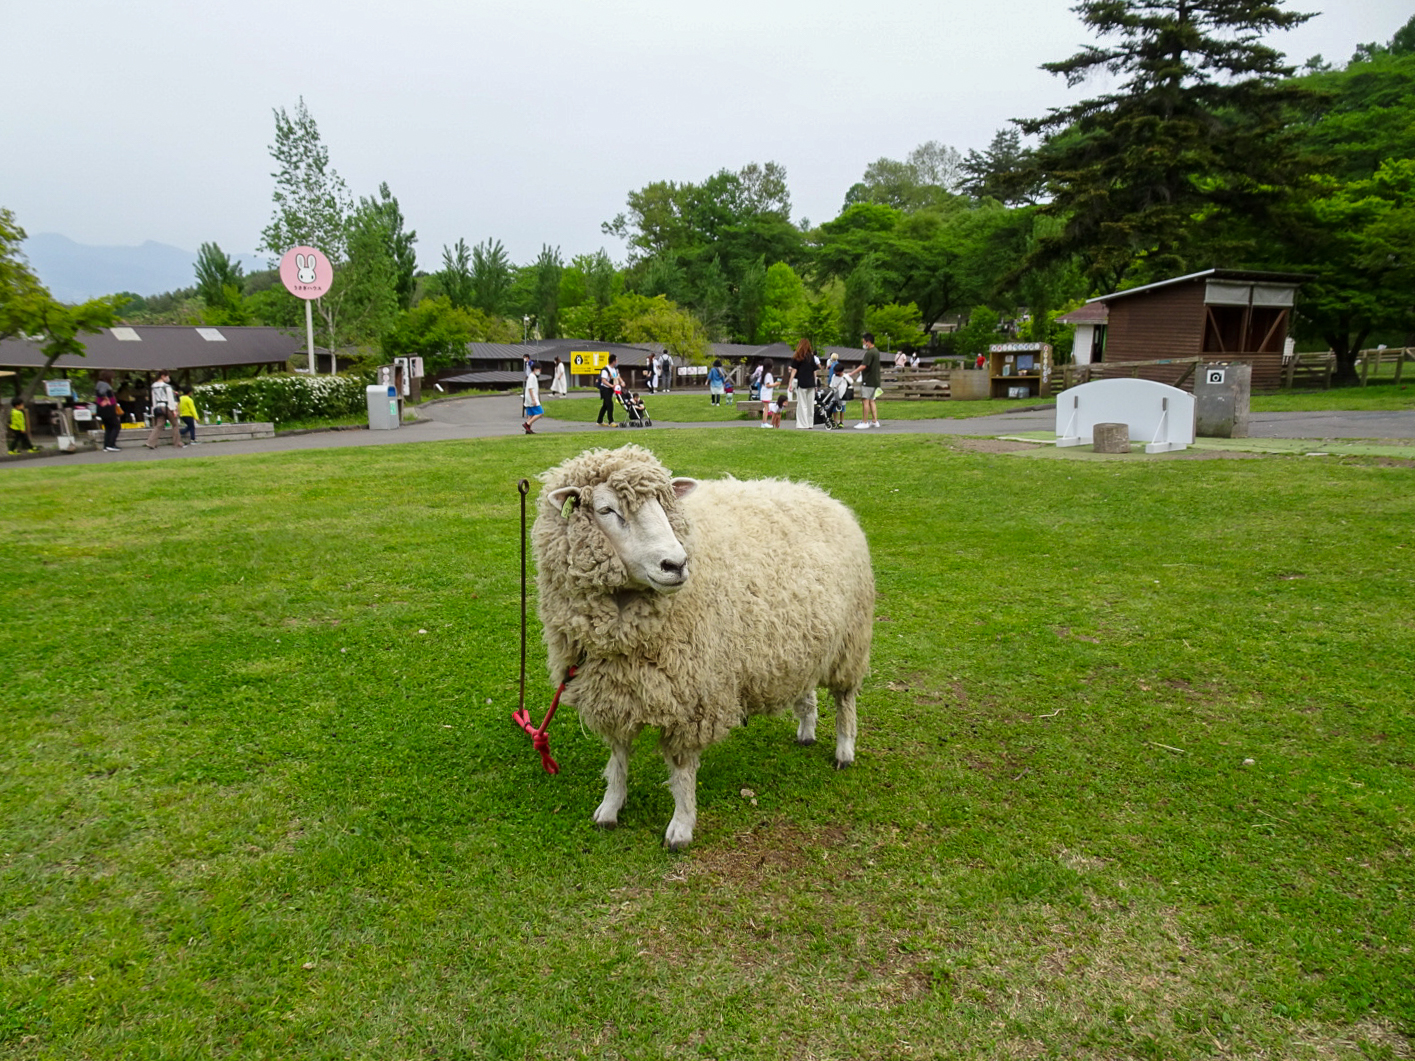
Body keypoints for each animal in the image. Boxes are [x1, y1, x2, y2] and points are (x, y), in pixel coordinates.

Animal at [532, 444, 871, 854]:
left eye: (664, 505)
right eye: (606, 510)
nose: (675, 564)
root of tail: (817, 493)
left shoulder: (692, 696)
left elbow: (681, 771)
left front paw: (681, 826)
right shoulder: (614, 688)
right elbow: (619, 756)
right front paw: (611, 806)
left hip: (850, 641)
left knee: (845, 699)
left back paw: (844, 750)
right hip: (800, 638)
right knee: (806, 687)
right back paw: (806, 730)